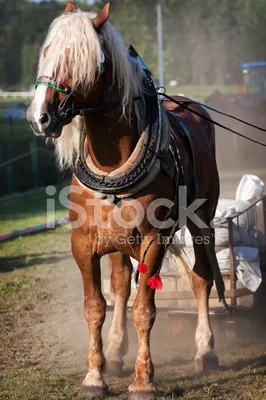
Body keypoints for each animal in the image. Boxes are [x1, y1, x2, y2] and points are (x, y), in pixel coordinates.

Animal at [27, 1, 222, 398]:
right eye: (47, 51)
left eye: (81, 60)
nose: (40, 117)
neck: (111, 160)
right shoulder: (83, 242)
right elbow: (96, 305)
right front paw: (95, 374)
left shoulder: (153, 239)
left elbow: (144, 309)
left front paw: (143, 379)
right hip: (116, 239)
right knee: (119, 284)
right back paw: (116, 351)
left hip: (202, 222)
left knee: (201, 278)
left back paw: (205, 350)